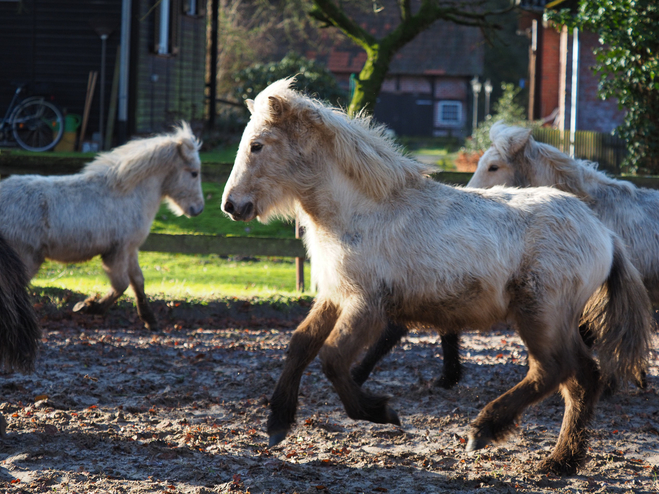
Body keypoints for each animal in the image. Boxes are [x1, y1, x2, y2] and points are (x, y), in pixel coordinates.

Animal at [0, 123, 205, 330]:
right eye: (194, 173)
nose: (198, 209)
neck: (128, 194)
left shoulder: (130, 250)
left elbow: (138, 282)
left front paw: (150, 320)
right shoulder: (117, 251)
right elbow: (121, 285)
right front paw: (89, 307)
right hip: (25, 258)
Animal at [223, 79, 656, 476]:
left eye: (257, 145)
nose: (231, 206)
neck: (360, 211)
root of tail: (605, 234)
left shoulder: (368, 306)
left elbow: (332, 359)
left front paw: (381, 411)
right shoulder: (335, 296)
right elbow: (300, 345)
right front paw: (277, 423)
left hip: (540, 314)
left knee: (554, 369)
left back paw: (485, 431)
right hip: (554, 319)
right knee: (581, 377)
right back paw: (562, 460)